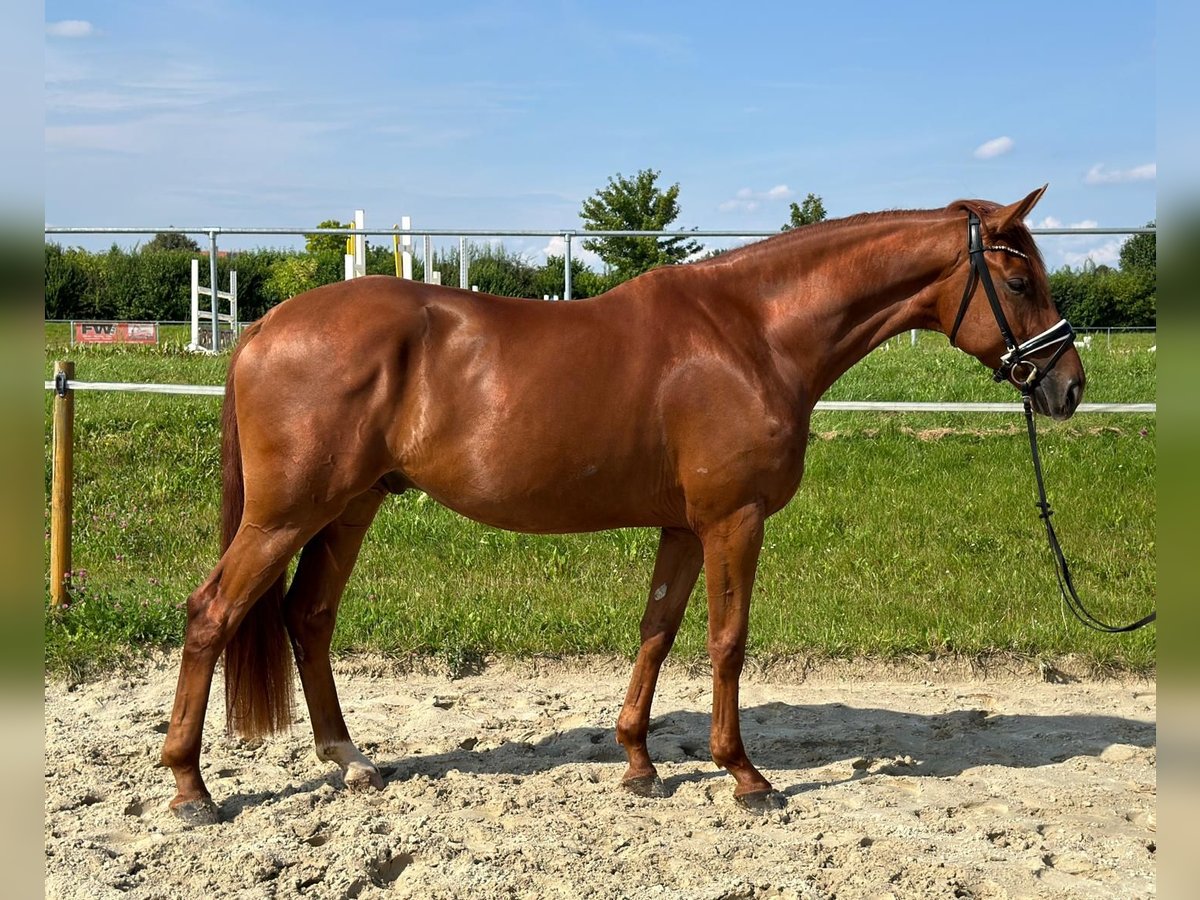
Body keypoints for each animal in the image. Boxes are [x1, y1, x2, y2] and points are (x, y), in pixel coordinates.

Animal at [162, 188, 1089, 825]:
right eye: (1018, 277)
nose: (1069, 386)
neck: (753, 334)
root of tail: (265, 327)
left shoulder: (683, 525)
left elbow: (657, 632)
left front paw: (639, 763)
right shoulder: (733, 521)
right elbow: (726, 643)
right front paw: (745, 776)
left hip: (349, 510)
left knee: (308, 619)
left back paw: (350, 761)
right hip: (286, 516)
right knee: (212, 613)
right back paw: (191, 788)